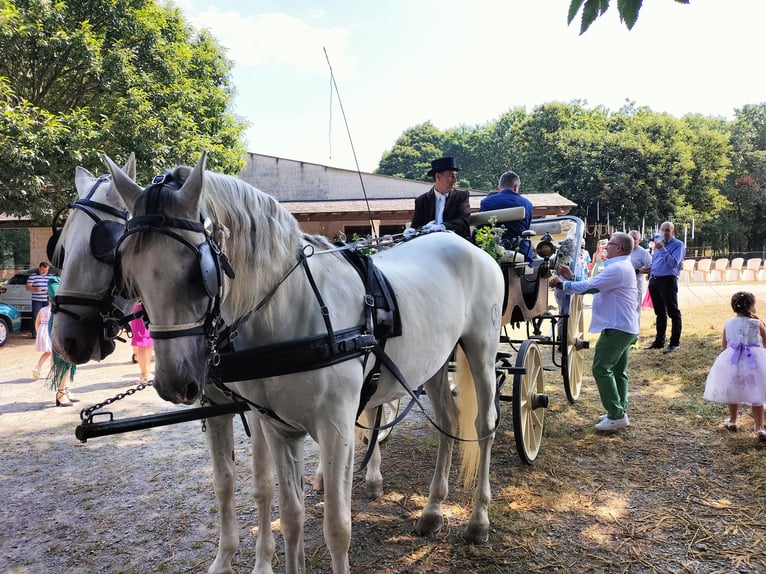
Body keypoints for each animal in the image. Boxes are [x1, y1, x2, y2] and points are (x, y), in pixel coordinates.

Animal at [105, 153, 508, 574]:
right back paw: (432, 510)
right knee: (448, 420)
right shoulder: (279, 428)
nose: (173, 383)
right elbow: (291, 516)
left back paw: (478, 521)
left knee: (483, 424)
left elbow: (337, 527)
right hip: (432, 364)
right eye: (129, 271)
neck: (294, 310)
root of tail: (461, 243)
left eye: (197, 272)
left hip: (480, 347)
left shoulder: (336, 428)